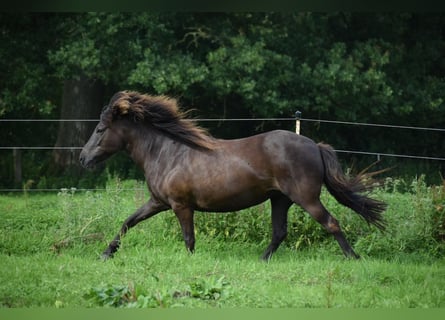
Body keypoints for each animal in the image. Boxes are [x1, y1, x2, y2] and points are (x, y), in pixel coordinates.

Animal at [80, 90, 386, 260]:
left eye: (99, 130)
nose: (83, 158)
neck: (167, 153)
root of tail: (315, 146)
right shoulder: (158, 202)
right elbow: (128, 222)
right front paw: (106, 253)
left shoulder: (181, 206)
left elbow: (189, 239)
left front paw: (190, 262)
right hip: (280, 199)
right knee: (280, 232)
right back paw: (261, 260)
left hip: (306, 198)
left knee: (331, 223)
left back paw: (354, 258)